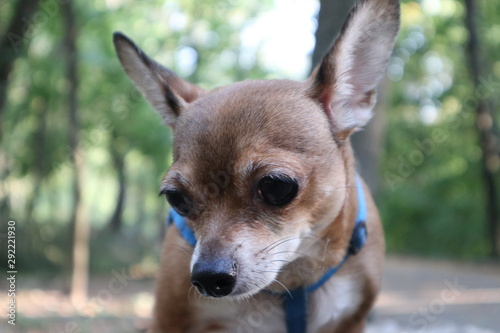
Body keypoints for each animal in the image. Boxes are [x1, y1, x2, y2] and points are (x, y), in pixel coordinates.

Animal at [112, 0, 398, 330]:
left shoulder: (350, 321)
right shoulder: (170, 320)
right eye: (176, 199)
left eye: (276, 187)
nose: (208, 276)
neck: (294, 279)